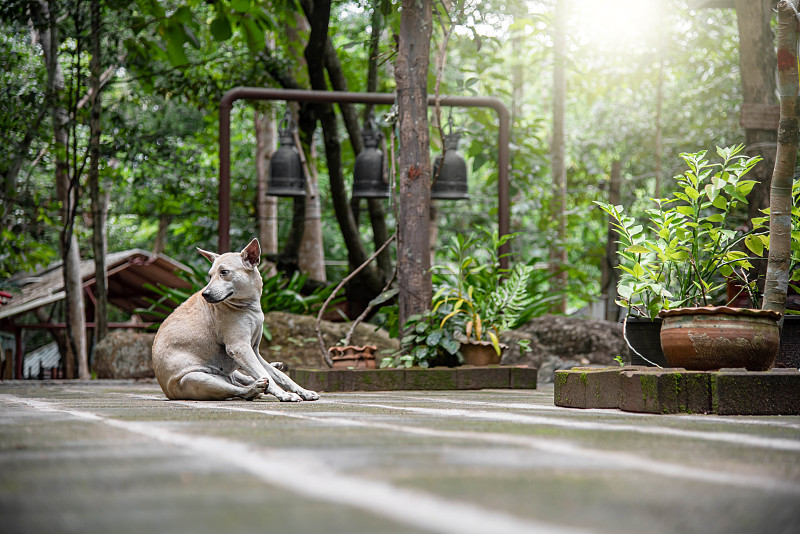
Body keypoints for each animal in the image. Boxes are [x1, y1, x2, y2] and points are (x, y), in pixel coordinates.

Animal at [152, 238, 318, 402]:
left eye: (224, 272)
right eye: (210, 275)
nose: (205, 294)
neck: (248, 307)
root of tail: (167, 391)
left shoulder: (254, 351)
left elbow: (281, 376)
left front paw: (303, 391)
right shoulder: (240, 348)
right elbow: (266, 374)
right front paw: (284, 394)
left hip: (231, 373)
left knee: (248, 378)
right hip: (197, 378)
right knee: (239, 390)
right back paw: (255, 388)